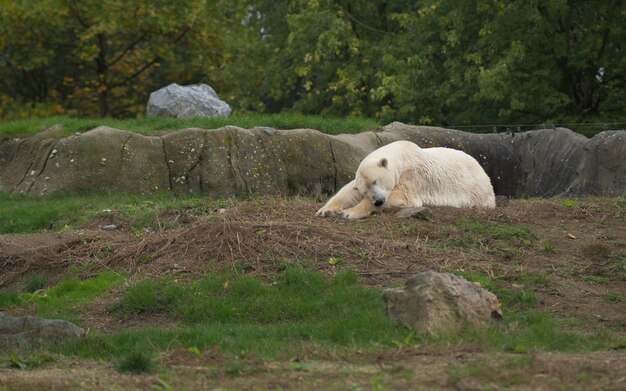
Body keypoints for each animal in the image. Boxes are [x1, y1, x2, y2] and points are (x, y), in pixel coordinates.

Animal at [314, 142, 494, 220]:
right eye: (365, 190)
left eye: (375, 181)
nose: (378, 201)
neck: (403, 154)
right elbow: (348, 191)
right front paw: (325, 210)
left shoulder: (414, 174)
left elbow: (401, 194)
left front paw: (350, 212)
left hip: (477, 191)